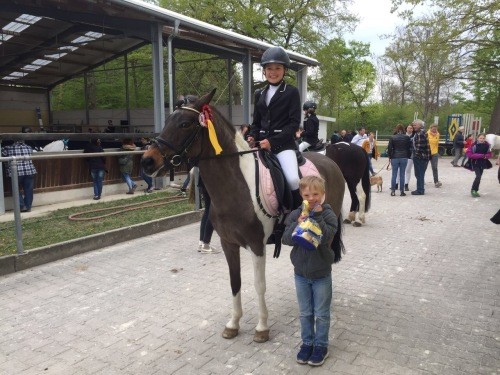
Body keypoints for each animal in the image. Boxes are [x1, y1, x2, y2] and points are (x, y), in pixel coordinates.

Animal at [139, 89, 346, 344]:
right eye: (167, 120)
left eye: (185, 124)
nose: (147, 161)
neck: (235, 185)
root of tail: (329, 161)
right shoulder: (228, 243)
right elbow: (234, 282)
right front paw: (233, 324)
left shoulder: (257, 245)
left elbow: (259, 285)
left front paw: (262, 327)